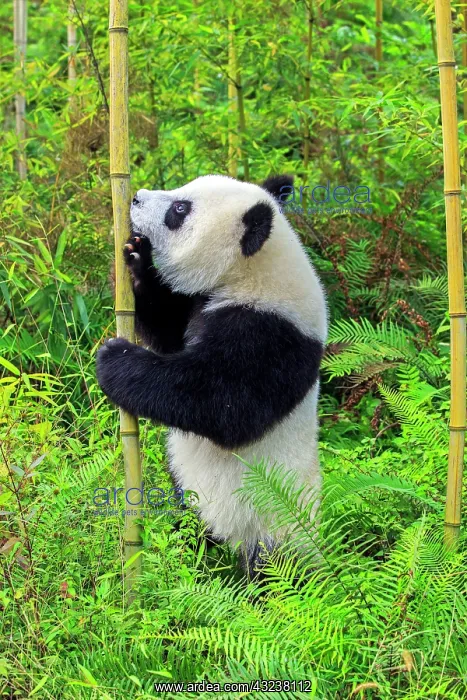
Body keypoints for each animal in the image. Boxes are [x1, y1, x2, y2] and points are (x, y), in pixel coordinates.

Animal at [96, 174, 327, 576]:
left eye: (179, 209)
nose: (136, 198)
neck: (251, 272)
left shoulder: (274, 333)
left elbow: (223, 405)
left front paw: (115, 359)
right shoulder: (203, 305)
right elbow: (168, 333)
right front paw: (136, 260)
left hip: (274, 527)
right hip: (190, 495)